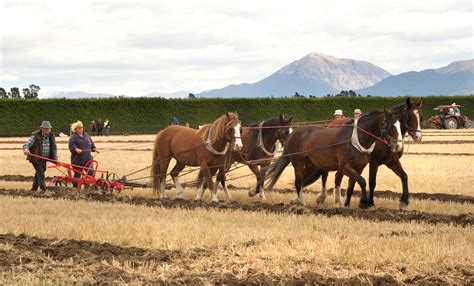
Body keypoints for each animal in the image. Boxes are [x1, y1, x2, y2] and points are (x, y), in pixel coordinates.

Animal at [264, 108, 402, 209]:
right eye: (391, 126)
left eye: (400, 125)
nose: (398, 145)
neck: (356, 139)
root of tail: (292, 134)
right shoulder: (344, 167)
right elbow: (362, 181)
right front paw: (363, 202)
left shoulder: (359, 167)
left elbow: (354, 183)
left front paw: (349, 204)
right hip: (298, 162)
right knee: (298, 182)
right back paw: (302, 203)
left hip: (310, 164)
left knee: (302, 181)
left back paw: (297, 200)